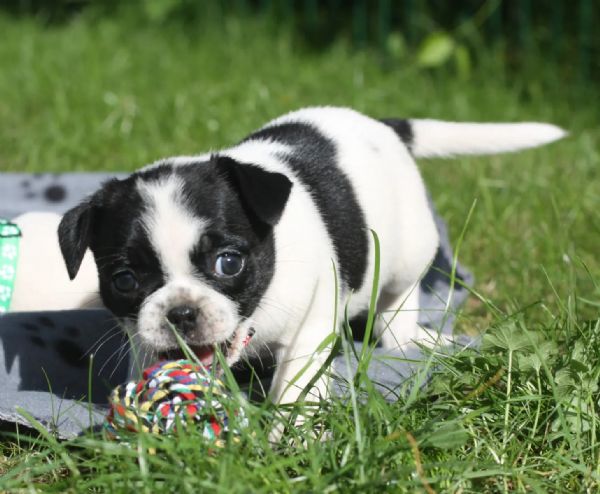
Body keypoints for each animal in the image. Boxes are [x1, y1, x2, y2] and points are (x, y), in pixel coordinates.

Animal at [58, 106, 564, 404]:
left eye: (229, 263)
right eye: (125, 280)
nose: (181, 313)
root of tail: (384, 126)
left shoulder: (309, 332)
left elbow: (294, 391)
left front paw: (289, 442)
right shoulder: (145, 339)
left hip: (408, 253)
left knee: (396, 307)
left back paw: (412, 337)